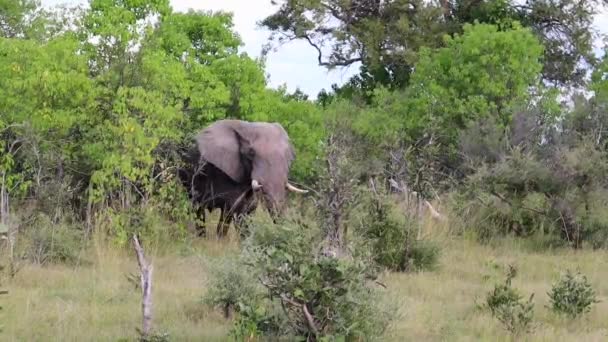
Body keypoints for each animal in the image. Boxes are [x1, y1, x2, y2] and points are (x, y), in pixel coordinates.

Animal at [177, 119, 308, 238]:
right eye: (251, 153)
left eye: (287, 156)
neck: (247, 127)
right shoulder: (225, 172)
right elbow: (235, 208)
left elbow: (248, 209)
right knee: (198, 209)